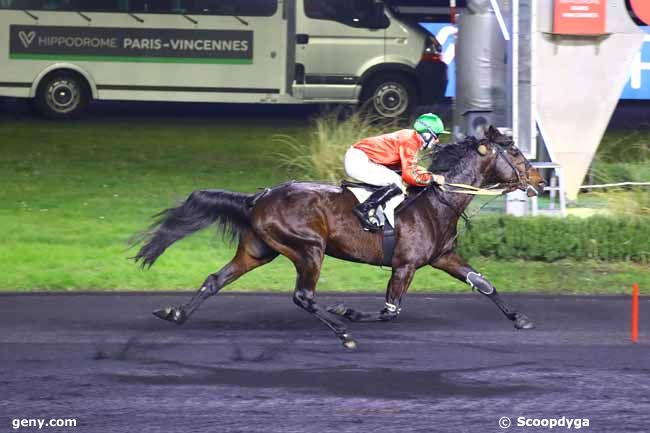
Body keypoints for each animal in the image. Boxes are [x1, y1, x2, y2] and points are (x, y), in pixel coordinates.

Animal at [135, 125, 540, 348]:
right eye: (515, 151)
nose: (538, 177)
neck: (437, 202)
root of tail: (259, 197)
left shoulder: (444, 257)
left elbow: (484, 284)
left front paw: (520, 318)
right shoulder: (405, 264)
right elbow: (389, 311)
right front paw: (348, 311)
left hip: (258, 250)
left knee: (214, 280)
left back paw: (174, 313)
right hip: (308, 249)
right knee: (303, 296)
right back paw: (343, 332)